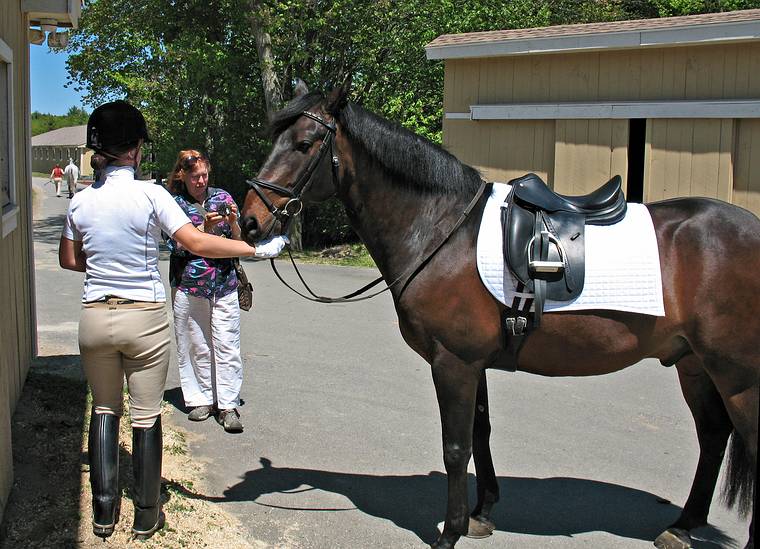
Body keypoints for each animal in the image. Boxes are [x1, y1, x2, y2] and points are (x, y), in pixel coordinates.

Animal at [240, 82, 756, 548]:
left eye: (305, 143)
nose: (249, 221)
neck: (442, 231)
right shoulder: (475, 363)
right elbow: (480, 434)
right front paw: (481, 512)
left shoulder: (454, 362)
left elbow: (455, 447)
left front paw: (449, 533)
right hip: (694, 364)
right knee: (714, 435)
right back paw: (683, 527)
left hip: (735, 374)